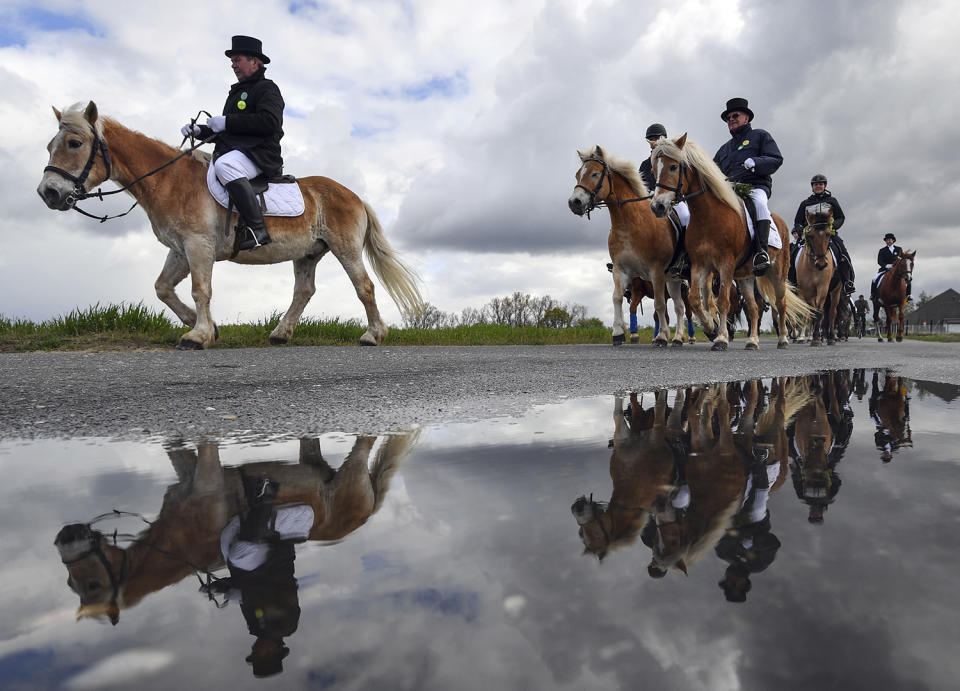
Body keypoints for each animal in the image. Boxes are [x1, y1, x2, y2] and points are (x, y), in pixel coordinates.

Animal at [37, 101, 420, 352]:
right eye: (50, 145)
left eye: (75, 143)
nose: (48, 193)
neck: (169, 179)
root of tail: (353, 194)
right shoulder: (180, 250)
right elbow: (163, 288)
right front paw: (204, 326)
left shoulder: (198, 246)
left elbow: (200, 290)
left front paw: (198, 335)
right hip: (308, 253)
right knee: (303, 291)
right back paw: (281, 333)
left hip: (345, 248)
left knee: (364, 287)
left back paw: (373, 335)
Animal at [53, 430, 416, 624]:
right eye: (71, 582)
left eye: (93, 584)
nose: (64, 536)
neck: (179, 538)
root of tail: (367, 512)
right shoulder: (187, 472)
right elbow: (174, 447)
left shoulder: (208, 472)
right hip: (314, 462)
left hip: (353, 467)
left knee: (366, 439)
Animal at [568, 148, 688, 348]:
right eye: (578, 175)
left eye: (595, 174)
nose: (574, 202)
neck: (629, 224)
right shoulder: (620, 270)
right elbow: (616, 298)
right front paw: (618, 334)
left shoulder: (656, 272)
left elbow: (659, 305)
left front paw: (661, 337)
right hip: (672, 279)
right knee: (679, 307)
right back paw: (678, 338)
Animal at [648, 134, 812, 352]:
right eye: (653, 169)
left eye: (673, 167)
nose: (657, 206)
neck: (708, 216)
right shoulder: (700, 264)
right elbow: (695, 300)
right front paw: (710, 327)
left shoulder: (725, 264)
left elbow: (723, 301)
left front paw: (721, 338)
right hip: (745, 277)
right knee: (753, 308)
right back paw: (752, 341)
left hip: (777, 273)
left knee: (781, 303)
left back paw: (783, 339)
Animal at [796, 204, 840, 346]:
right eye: (810, 235)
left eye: (828, 234)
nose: (822, 264)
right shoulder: (807, 290)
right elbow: (812, 312)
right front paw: (812, 338)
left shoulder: (823, 287)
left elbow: (820, 312)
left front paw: (815, 338)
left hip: (836, 291)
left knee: (832, 313)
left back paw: (831, 337)